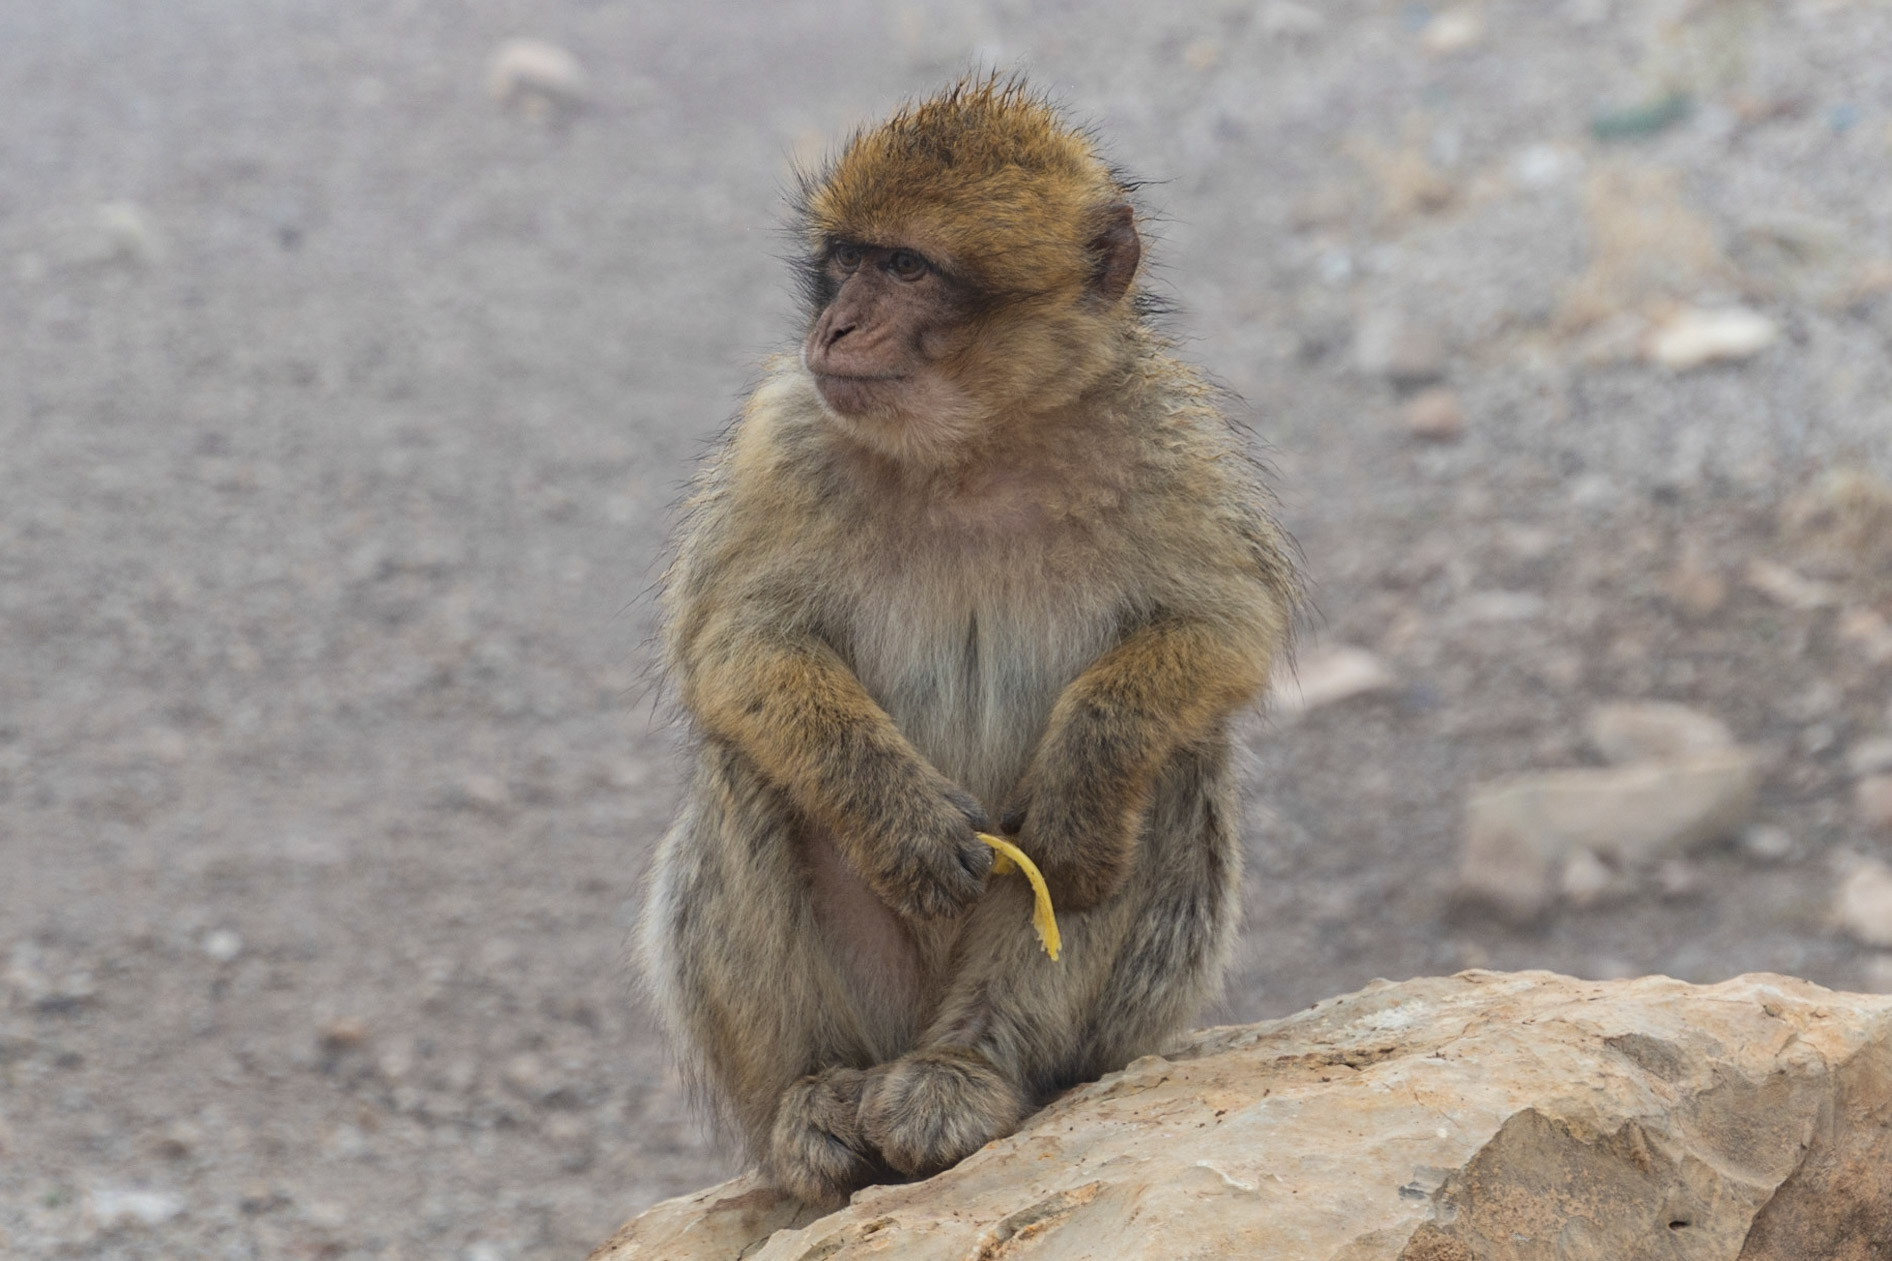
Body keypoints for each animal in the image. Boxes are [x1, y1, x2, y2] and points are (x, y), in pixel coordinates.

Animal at [639, 76, 1297, 1208]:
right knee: (749, 769)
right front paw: (898, 820)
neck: (974, 447)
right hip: (860, 999)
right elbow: (734, 646)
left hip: (1116, 1022)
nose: (837, 325)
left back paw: (968, 1069)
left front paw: (1085, 775)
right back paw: (814, 1095)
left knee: (1166, 776)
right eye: (848, 259)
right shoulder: (785, 435)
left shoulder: (1170, 440)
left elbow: (1220, 631)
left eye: (907, 268)